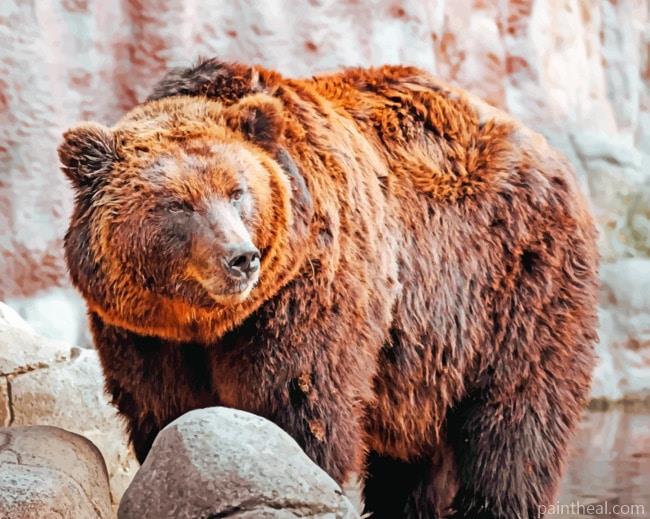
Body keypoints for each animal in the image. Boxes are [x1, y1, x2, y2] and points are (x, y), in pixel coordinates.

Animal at [58, 60, 599, 519]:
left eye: (238, 191)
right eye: (176, 204)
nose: (241, 257)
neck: (204, 321)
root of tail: (550, 153)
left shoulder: (308, 291)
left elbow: (300, 403)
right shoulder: (144, 333)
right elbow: (163, 410)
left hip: (515, 286)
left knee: (515, 423)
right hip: (430, 358)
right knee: (417, 458)